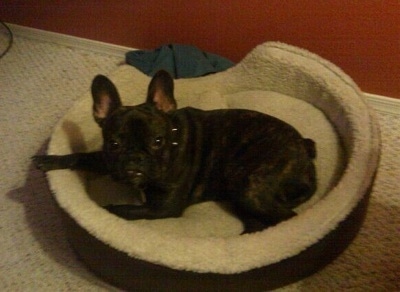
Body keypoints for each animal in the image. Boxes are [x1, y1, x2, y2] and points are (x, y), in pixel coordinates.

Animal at [32, 69, 318, 232]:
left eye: (158, 141)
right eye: (113, 145)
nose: (135, 159)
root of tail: (304, 148)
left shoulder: (163, 208)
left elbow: (117, 209)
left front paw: (100, 209)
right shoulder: (107, 160)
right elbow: (83, 156)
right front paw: (50, 159)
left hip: (248, 185)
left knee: (287, 218)